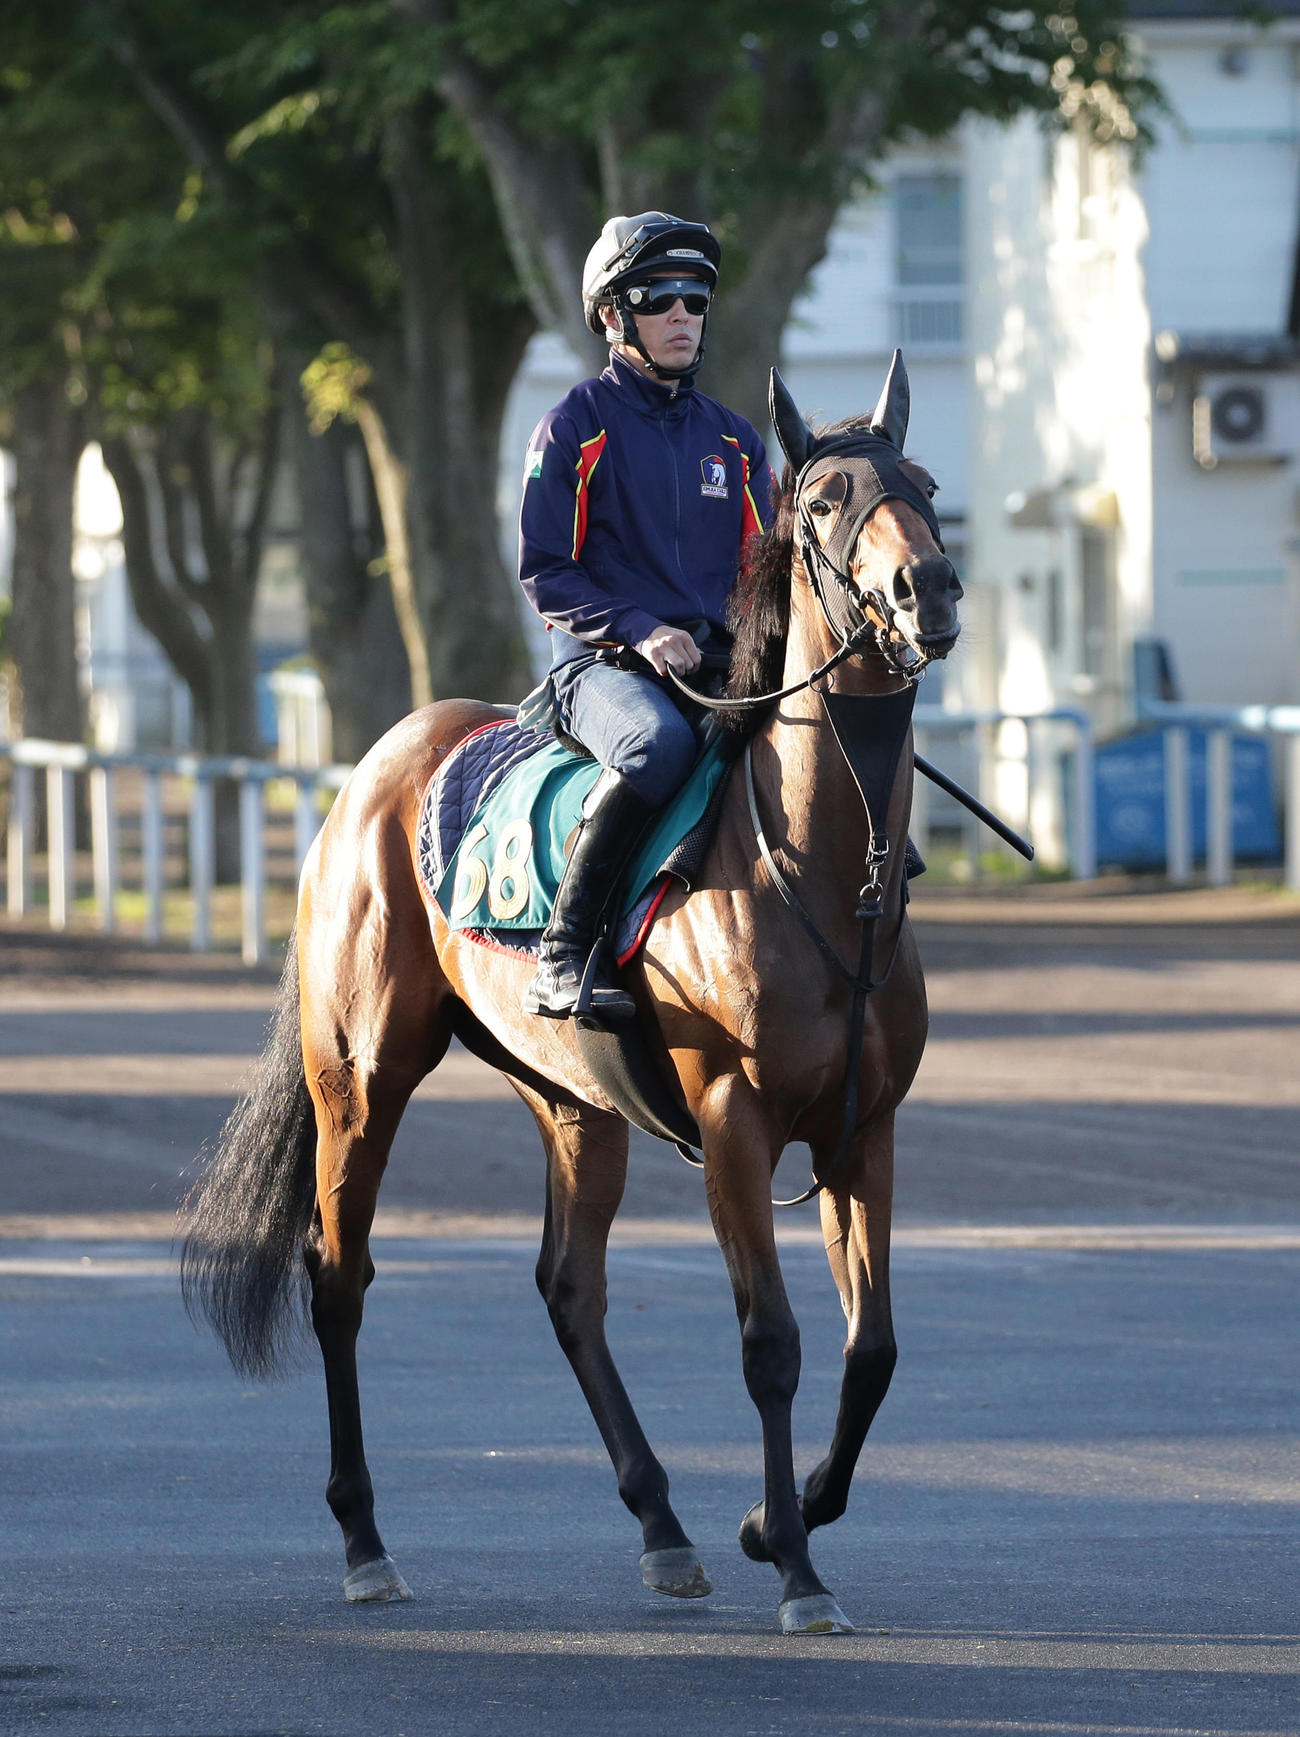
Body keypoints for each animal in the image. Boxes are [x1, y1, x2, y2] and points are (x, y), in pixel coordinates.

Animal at [181, 353, 963, 1636]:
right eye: (819, 503)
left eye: (926, 486)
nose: (925, 589)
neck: (814, 866)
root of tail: (378, 767)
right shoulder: (733, 1121)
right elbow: (772, 1345)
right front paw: (797, 1569)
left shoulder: (865, 1131)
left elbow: (873, 1351)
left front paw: (769, 1521)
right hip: (361, 1076)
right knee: (338, 1278)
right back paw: (365, 1545)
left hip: (571, 1102)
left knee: (568, 1290)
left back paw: (663, 1527)